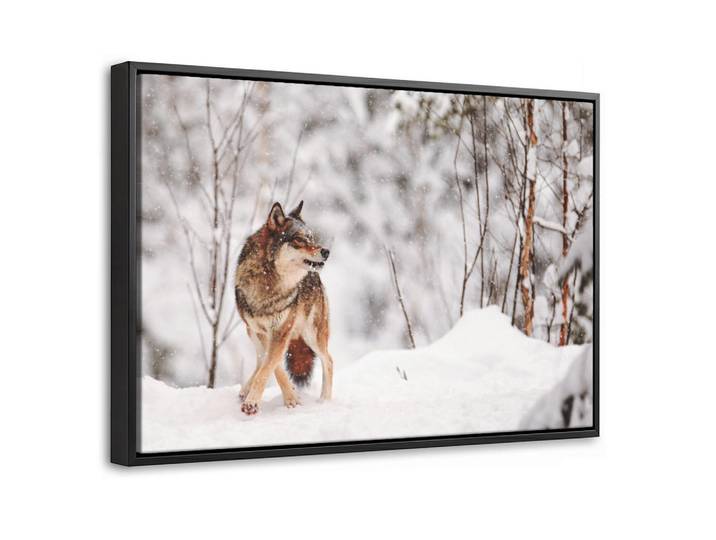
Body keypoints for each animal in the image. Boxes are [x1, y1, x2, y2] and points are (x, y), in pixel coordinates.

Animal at [234, 200, 333, 415]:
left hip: (312, 335)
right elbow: (273, 366)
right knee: (260, 359)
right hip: (251, 332)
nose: (326, 252)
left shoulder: (281, 331)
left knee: (328, 360)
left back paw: (325, 401)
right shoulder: (263, 332)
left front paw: (254, 403)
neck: (269, 284)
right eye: (299, 239)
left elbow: (269, 366)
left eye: (312, 237)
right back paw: (245, 389)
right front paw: (291, 398)